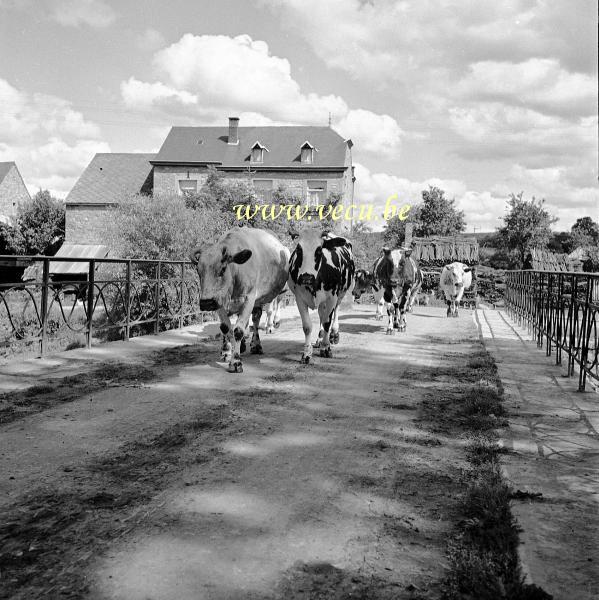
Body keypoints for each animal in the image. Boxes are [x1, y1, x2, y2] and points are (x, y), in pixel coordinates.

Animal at [189, 227, 290, 372]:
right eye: (198, 270)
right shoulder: (219, 302)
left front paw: (236, 361)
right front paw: (226, 352)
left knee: (256, 319)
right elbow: (226, 328)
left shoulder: (249, 298)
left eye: (223, 269)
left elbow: (238, 330)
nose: (206, 302)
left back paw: (256, 345)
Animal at [288, 229, 354, 360]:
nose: (306, 277)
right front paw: (307, 354)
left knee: (335, 312)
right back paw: (319, 339)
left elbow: (327, 322)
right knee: (321, 315)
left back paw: (333, 335)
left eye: (319, 250)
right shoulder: (299, 298)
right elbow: (307, 326)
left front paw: (326, 348)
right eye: (299, 249)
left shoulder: (331, 298)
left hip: (340, 294)